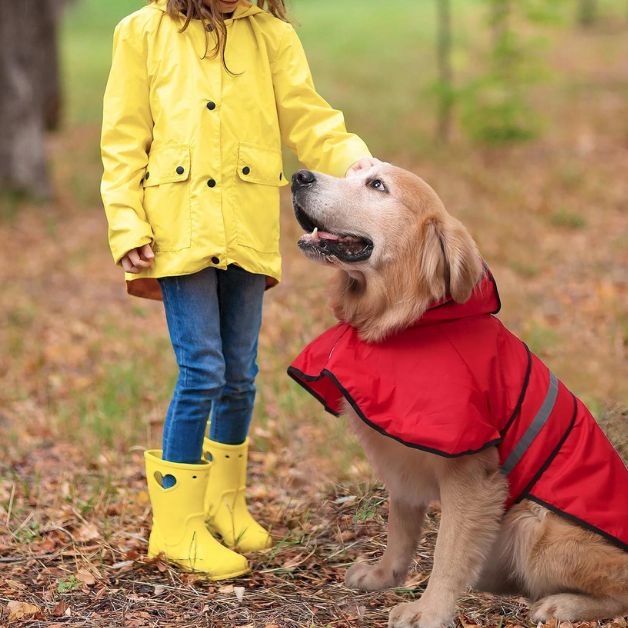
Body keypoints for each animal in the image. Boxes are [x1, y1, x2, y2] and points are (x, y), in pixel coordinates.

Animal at [288, 166, 624, 628]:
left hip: (535, 526)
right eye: (350, 171)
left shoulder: (472, 475)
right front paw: (384, 576)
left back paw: (563, 604)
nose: (298, 176)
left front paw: (429, 610)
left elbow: (448, 551)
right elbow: (401, 530)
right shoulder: (401, 462)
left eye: (377, 185)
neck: (406, 322)